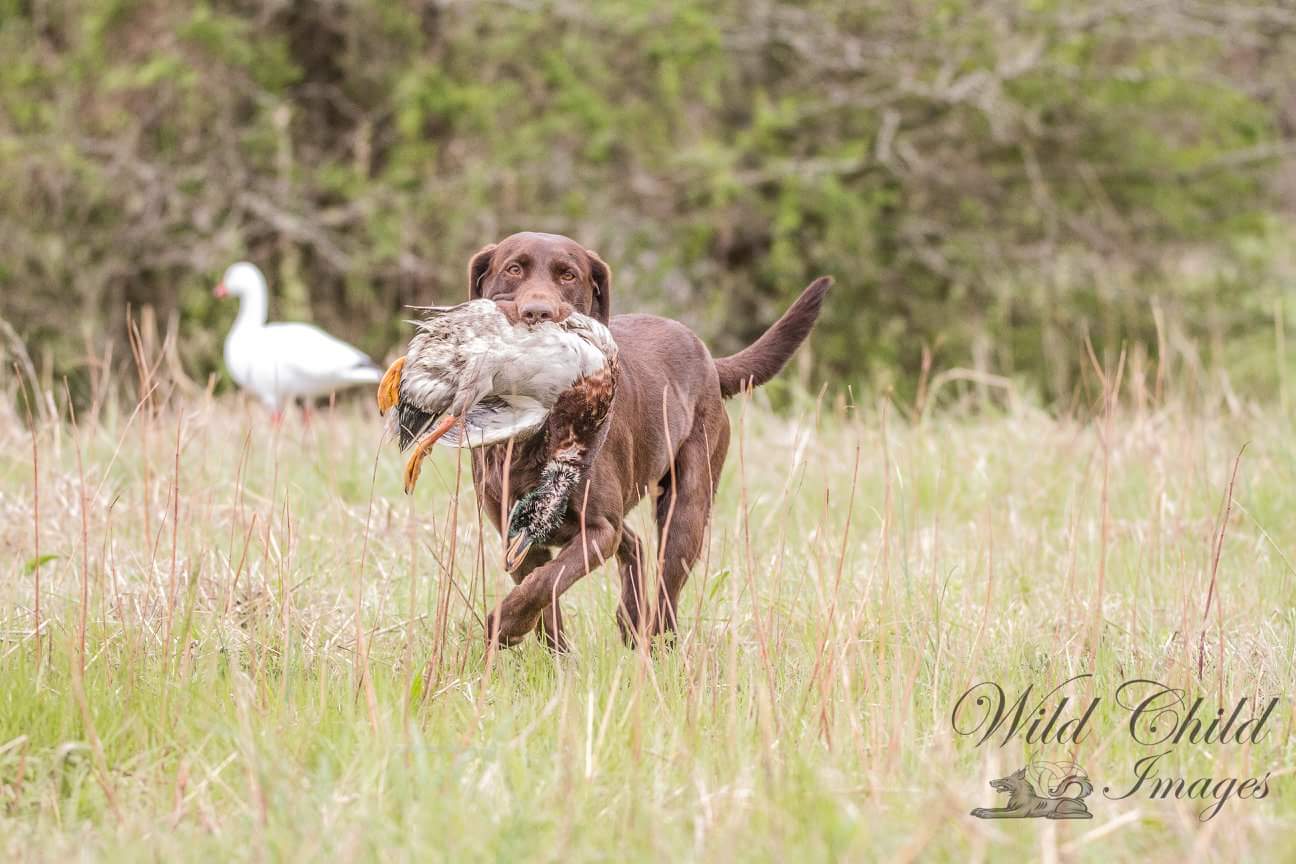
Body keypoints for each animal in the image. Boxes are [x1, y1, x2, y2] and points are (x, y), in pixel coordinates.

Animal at [469, 229, 829, 647]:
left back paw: (656, 639)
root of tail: (709, 359)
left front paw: (505, 625)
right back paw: (630, 615)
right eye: (514, 269)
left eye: (568, 275)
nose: (537, 312)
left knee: (667, 584)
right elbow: (542, 595)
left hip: (687, 509)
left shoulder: (598, 530)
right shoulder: (516, 535)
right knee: (635, 546)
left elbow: (547, 582)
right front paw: (550, 650)